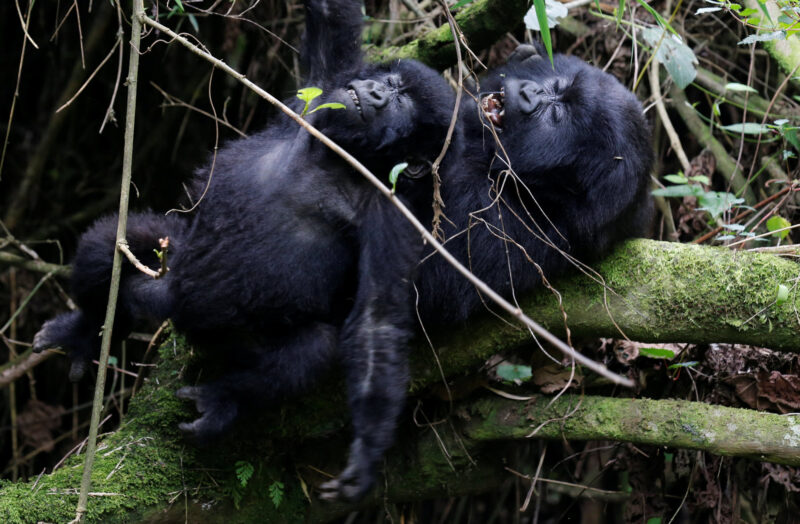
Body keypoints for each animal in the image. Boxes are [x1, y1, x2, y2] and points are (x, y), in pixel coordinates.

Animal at [32, 0, 456, 502]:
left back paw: (225, 399)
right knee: (113, 241)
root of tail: (177, 315)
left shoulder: (393, 211)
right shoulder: (318, 95)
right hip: (170, 269)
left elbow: (377, 319)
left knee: (311, 349)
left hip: (223, 336)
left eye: (402, 100)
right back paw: (88, 330)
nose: (374, 92)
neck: (338, 158)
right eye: (390, 82)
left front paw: (368, 449)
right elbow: (332, 23)